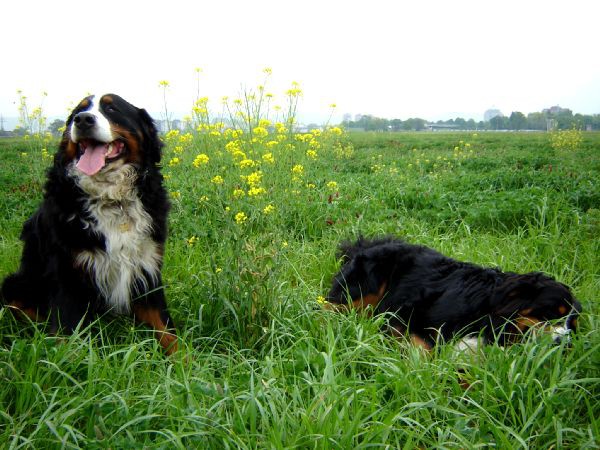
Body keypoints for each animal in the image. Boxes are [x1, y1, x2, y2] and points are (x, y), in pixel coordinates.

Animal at [1, 94, 178, 356]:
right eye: (78, 111)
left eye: (112, 108)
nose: (83, 120)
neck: (112, 199)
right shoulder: (66, 272)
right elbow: (66, 333)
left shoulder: (146, 265)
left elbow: (166, 329)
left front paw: (186, 362)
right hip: (16, 283)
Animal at [326, 237, 584, 350]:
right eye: (552, 312)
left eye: (573, 327)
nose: (566, 343)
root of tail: (367, 244)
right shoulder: (405, 315)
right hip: (364, 288)